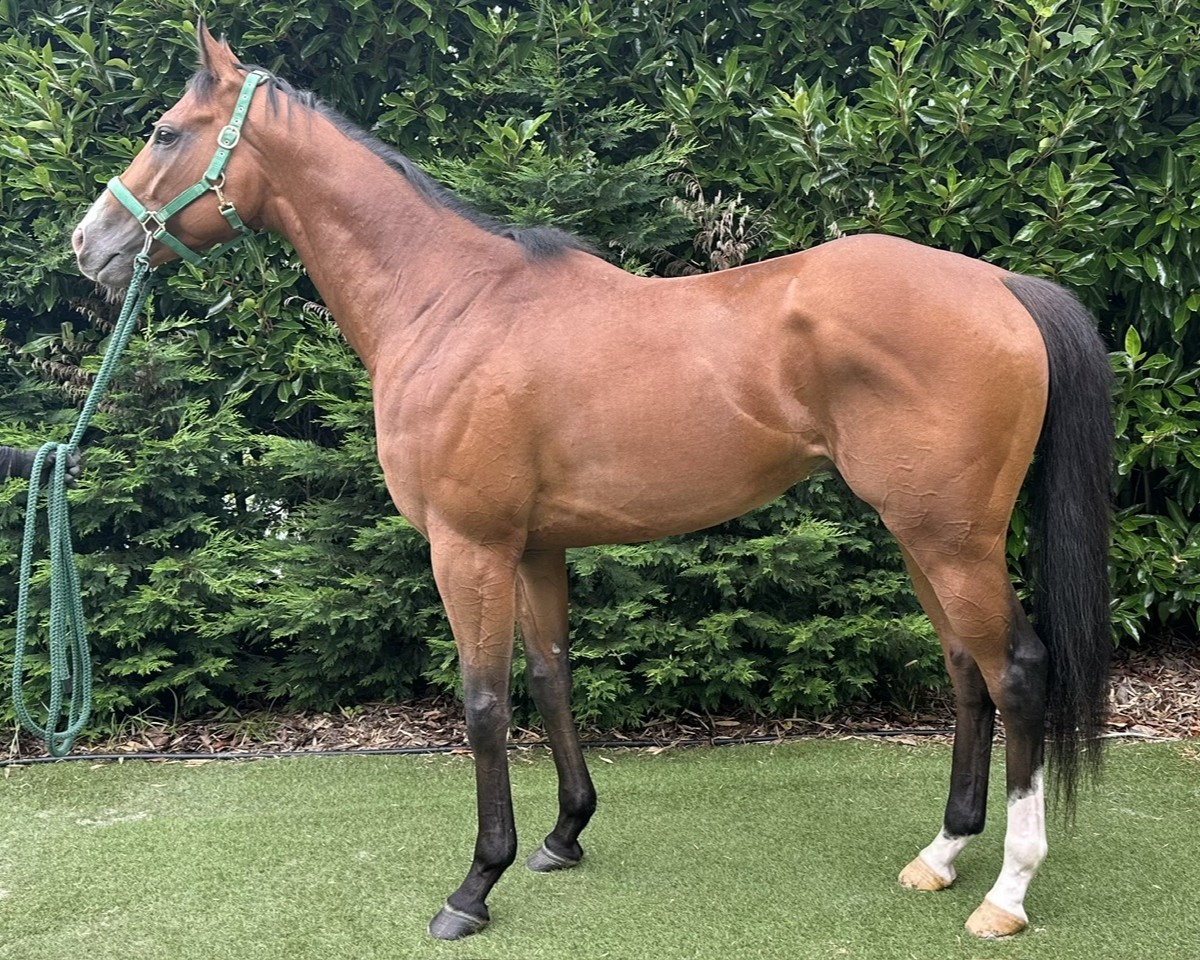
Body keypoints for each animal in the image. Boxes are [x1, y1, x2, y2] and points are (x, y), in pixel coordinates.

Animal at [72, 23, 1112, 941]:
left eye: (165, 131)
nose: (89, 246)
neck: (449, 302)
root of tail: (1002, 286)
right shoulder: (535, 548)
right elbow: (551, 677)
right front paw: (564, 835)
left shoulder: (470, 548)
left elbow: (484, 703)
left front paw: (473, 886)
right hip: (920, 533)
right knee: (966, 668)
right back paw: (941, 856)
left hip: (951, 535)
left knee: (1017, 670)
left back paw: (1007, 893)